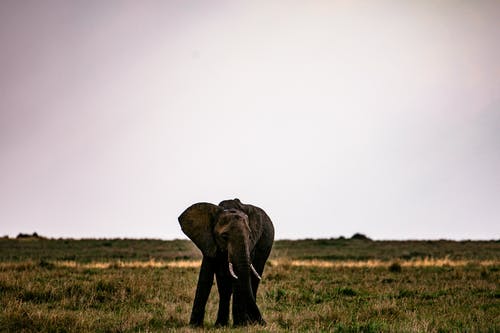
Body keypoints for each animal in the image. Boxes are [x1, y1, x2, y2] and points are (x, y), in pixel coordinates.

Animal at [178, 198, 276, 326]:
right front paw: (194, 326)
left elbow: (238, 279)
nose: (264, 323)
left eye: (250, 237)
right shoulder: (208, 240)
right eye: (224, 236)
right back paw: (221, 324)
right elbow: (206, 277)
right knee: (224, 286)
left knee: (253, 281)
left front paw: (240, 325)